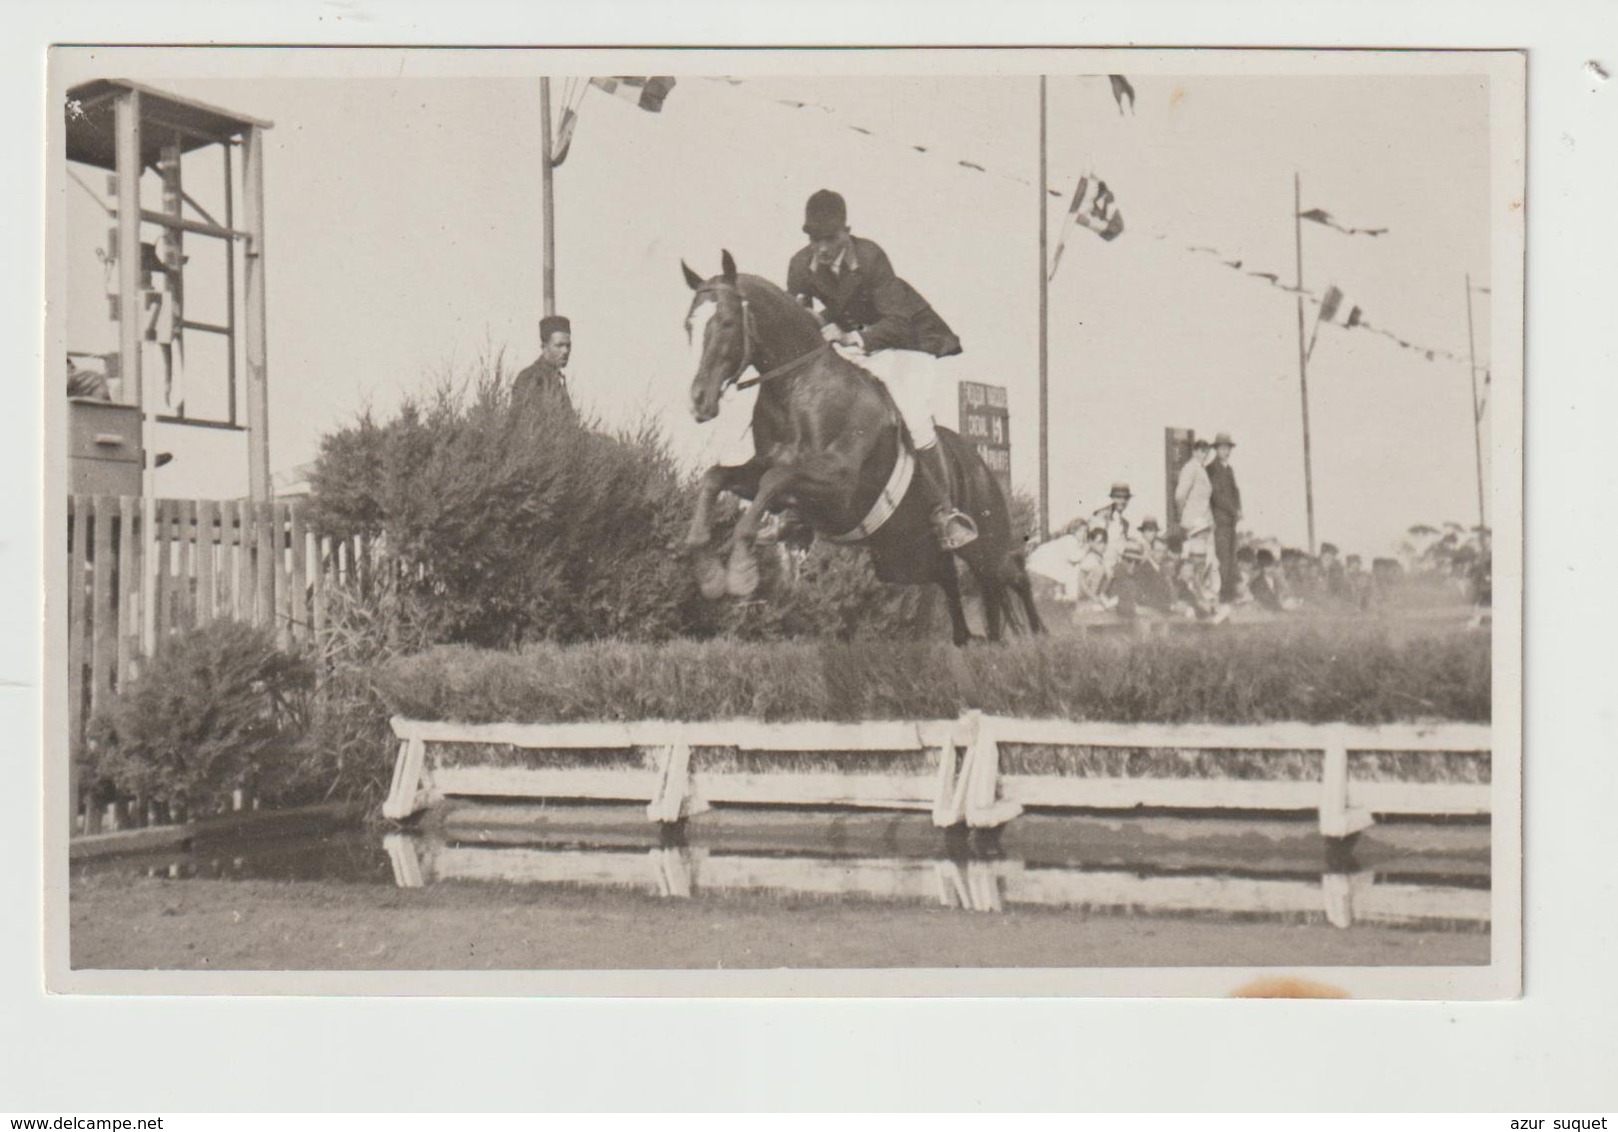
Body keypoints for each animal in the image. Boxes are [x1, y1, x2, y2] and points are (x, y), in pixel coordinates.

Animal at [679, 253, 1035, 650]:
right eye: (688, 326)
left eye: (726, 322)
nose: (699, 402)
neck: (797, 390)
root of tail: (980, 464)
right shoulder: (764, 469)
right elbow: (717, 477)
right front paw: (710, 575)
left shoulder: (840, 485)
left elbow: (775, 479)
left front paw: (740, 573)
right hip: (910, 557)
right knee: (954, 584)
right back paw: (972, 641)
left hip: (986, 545)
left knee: (1015, 574)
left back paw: (1040, 638)